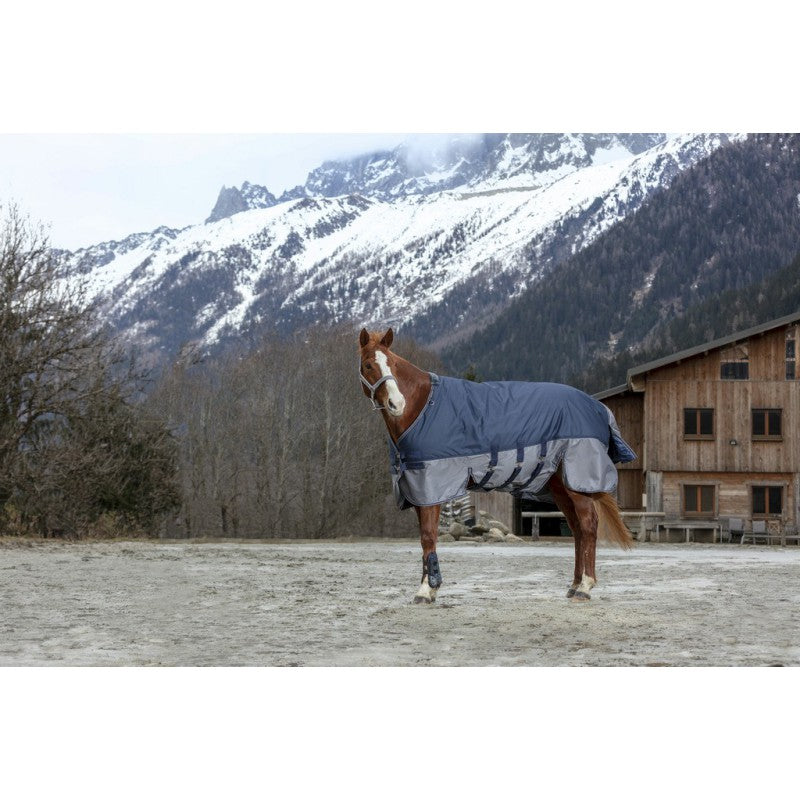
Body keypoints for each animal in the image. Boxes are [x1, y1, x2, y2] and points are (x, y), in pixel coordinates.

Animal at [358, 327, 636, 604]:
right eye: (369, 365)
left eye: (393, 364)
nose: (396, 404)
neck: (423, 407)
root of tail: (598, 407)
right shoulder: (418, 489)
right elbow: (424, 537)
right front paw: (430, 586)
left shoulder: (432, 485)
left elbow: (428, 536)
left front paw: (426, 590)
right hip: (560, 486)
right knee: (577, 529)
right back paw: (574, 584)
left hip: (578, 483)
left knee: (588, 526)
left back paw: (585, 587)